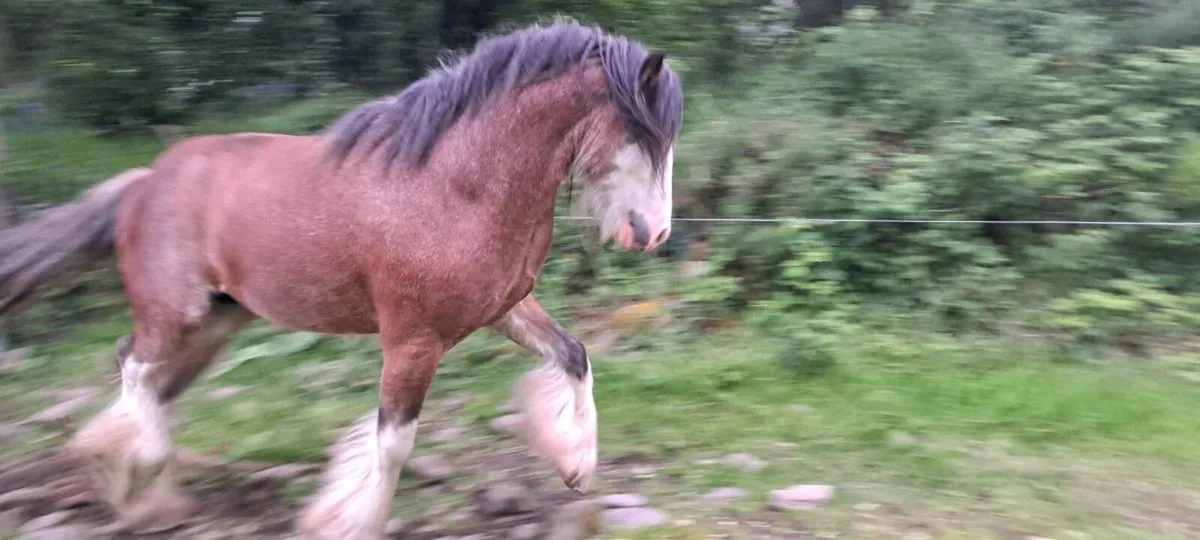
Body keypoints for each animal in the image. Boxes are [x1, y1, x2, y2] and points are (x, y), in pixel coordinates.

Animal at [0, 20, 683, 540]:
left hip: (218, 319)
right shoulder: (412, 341)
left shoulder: (503, 309)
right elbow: (393, 443)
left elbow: (575, 355)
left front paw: (577, 467)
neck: (456, 185)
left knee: (154, 384)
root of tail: (142, 181)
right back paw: (136, 467)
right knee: (135, 367)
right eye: (640, 132)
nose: (652, 234)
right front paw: (348, 521)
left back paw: (147, 494)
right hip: (178, 314)